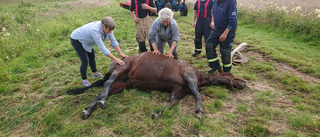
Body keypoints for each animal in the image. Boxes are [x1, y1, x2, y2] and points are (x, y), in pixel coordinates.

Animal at [67, 52, 248, 120]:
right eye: (231, 76)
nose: (244, 82)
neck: (199, 75)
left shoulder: (178, 90)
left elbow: (172, 102)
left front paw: (157, 113)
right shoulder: (189, 77)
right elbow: (198, 95)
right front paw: (198, 112)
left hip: (122, 84)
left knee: (101, 92)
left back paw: (88, 110)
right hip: (120, 69)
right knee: (107, 84)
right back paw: (102, 102)